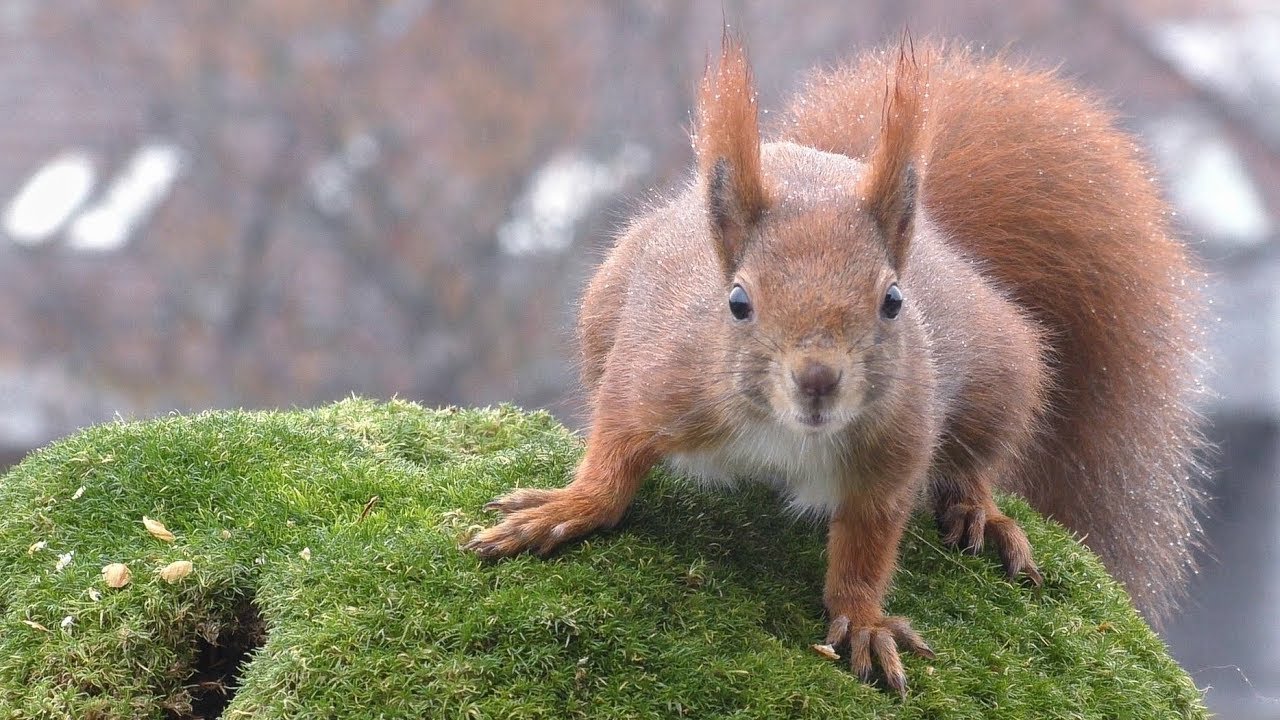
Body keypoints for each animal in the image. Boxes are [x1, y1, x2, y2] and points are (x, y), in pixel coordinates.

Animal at [466, 36, 1208, 694]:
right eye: (737, 301)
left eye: (893, 300)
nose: (818, 378)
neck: (783, 436)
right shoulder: (655, 377)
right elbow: (614, 455)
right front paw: (567, 508)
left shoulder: (893, 448)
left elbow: (868, 542)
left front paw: (864, 620)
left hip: (998, 377)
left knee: (976, 458)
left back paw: (982, 514)